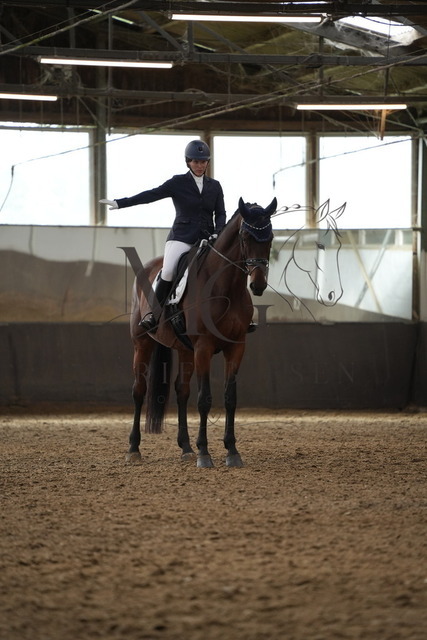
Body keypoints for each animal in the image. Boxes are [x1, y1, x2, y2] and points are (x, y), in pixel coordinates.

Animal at [127, 196, 277, 468]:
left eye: (270, 237)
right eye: (245, 237)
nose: (258, 285)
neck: (226, 286)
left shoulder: (236, 347)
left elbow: (230, 397)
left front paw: (231, 451)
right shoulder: (204, 347)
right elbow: (205, 398)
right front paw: (205, 453)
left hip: (185, 350)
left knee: (181, 391)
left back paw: (186, 448)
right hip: (142, 343)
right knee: (139, 389)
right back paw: (134, 448)